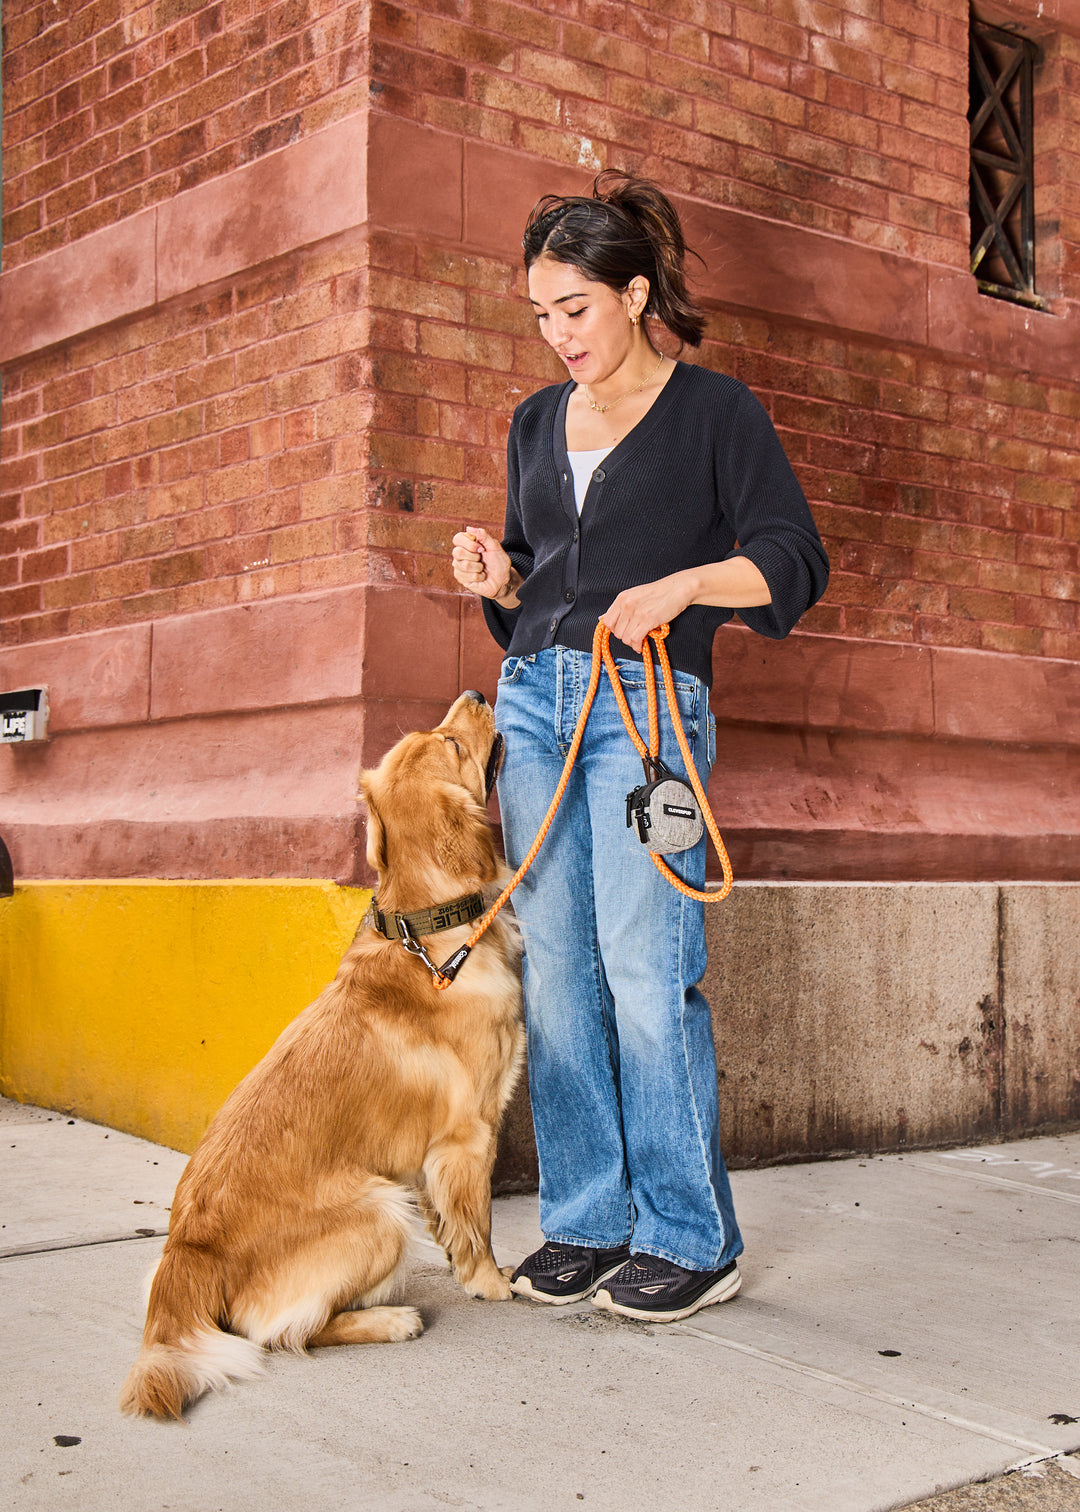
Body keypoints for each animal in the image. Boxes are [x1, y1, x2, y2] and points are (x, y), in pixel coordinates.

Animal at [118, 692, 520, 1421]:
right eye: (450, 742)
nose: (478, 696)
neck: (429, 929)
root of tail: (188, 1257)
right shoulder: (469, 1136)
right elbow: (477, 1224)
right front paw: (490, 1281)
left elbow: (456, 1224)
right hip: (381, 1207)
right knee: (284, 1333)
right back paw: (389, 1319)